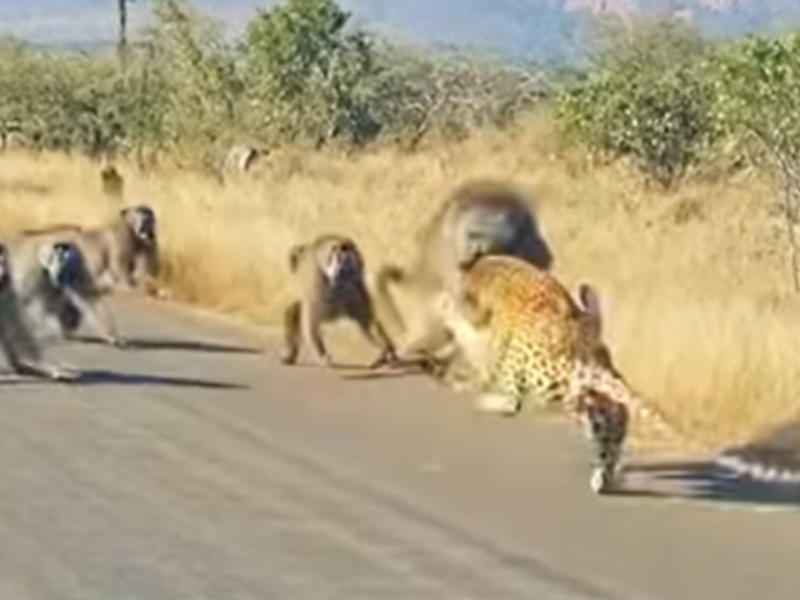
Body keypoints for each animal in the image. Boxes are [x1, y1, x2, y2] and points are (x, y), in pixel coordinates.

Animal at [433, 254, 677, 495]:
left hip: (543, 380)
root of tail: (584, 352)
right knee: (613, 427)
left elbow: (463, 331)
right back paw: (605, 478)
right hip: (591, 399)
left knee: (514, 401)